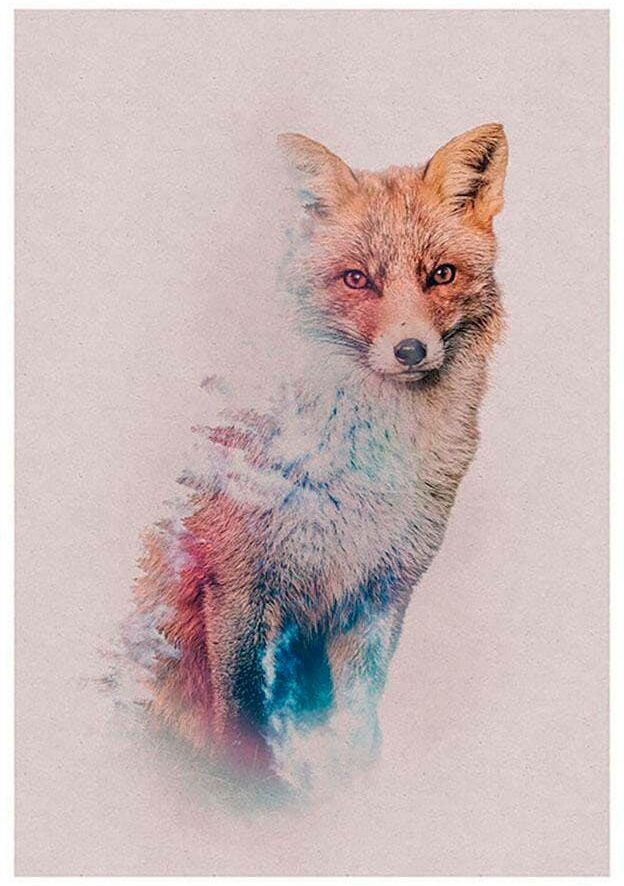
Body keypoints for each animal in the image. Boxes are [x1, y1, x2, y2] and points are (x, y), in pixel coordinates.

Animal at [122, 123, 508, 789]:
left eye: (441, 274)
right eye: (357, 279)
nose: (411, 350)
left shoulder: (379, 593)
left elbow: (357, 724)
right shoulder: (237, 586)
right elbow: (244, 723)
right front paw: (250, 795)